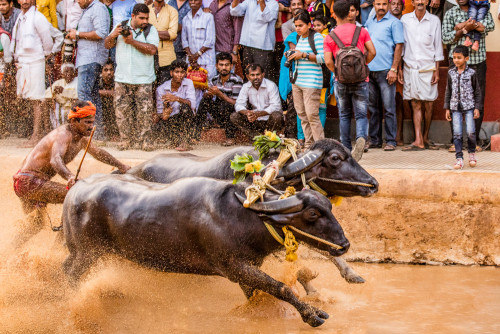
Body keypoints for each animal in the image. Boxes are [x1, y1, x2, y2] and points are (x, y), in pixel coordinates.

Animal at [64, 175, 350, 328]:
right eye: (312, 214)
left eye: (329, 206)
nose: (345, 244)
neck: (244, 216)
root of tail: (74, 191)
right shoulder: (234, 266)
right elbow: (280, 287)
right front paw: (312, 314)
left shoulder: (248, 269)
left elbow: (257, 294)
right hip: (86, 254)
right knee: (71, 275)